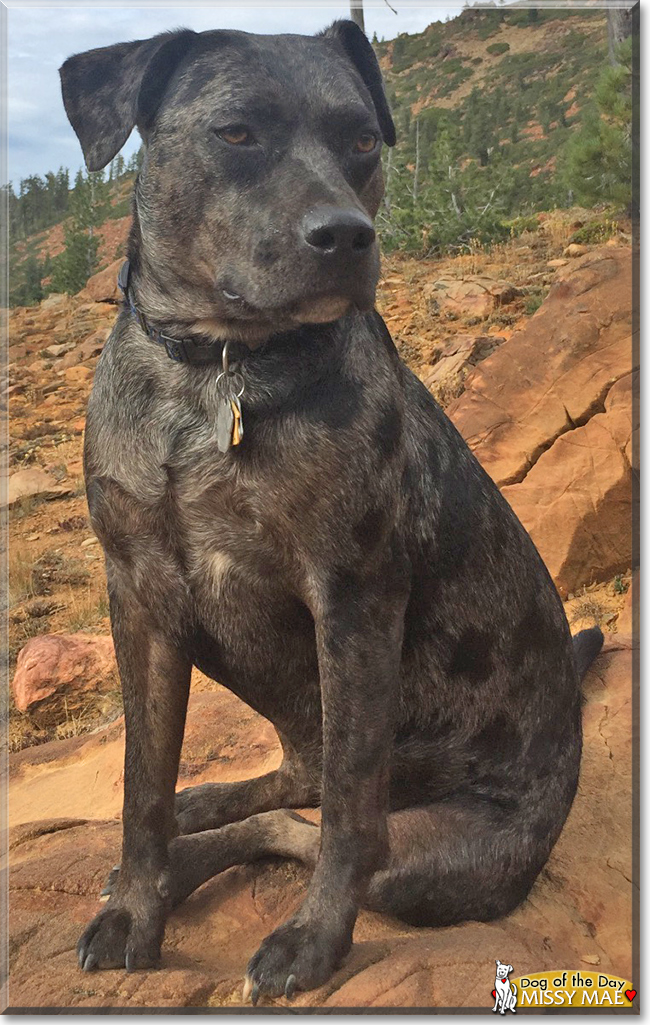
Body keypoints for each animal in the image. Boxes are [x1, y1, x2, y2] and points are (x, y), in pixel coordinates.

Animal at [60, 22, 602, 1000]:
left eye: (361, 141)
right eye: (236, 133)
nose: (347, 235)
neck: (220, 372)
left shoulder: (351, 601)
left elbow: (349, 808)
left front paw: (314, 937)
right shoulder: (142, 597)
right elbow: (140, 783)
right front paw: (134, 908)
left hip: (427, 855)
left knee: (323, 820)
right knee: (291, 781)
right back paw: (191, 824)